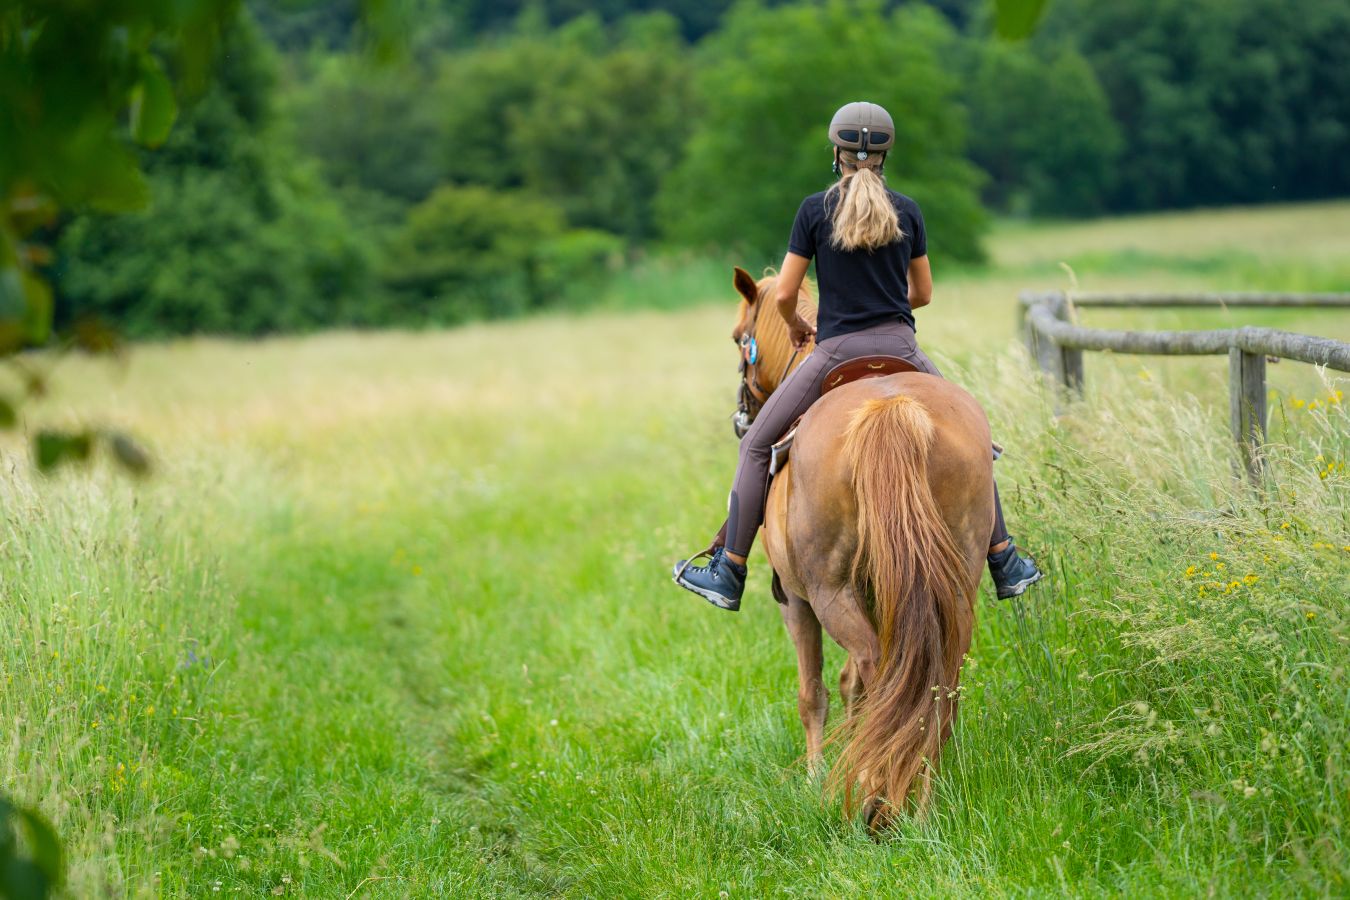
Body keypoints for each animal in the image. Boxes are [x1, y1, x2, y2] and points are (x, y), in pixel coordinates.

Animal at [734, 265, 988, 825]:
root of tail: (889, 408)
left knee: (878, 671)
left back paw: (875, 795)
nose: (741, 417)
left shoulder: (796, 601)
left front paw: (814, 778)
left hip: (829, 593)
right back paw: (918, 794)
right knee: (934, 677)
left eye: (740, 338)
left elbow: (815, 691)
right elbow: (853, 685)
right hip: (953, 585)